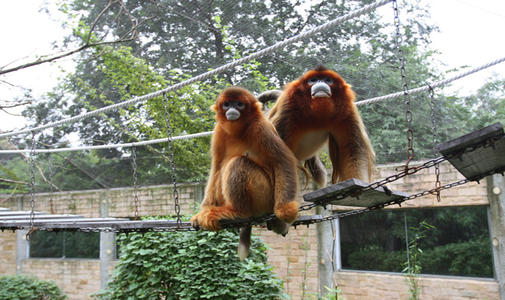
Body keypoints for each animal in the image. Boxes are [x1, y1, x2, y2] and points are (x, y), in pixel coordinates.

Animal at [191, 86, 298, 260]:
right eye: (227, 104)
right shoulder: (219, 130)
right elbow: (216, 166)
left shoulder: (260, 127)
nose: (232, 109)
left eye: (239, 104)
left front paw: (286, 210)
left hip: (265, 196)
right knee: (222, 170)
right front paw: (203, 210)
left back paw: (238, 213)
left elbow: (283, 161)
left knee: (238, 163)